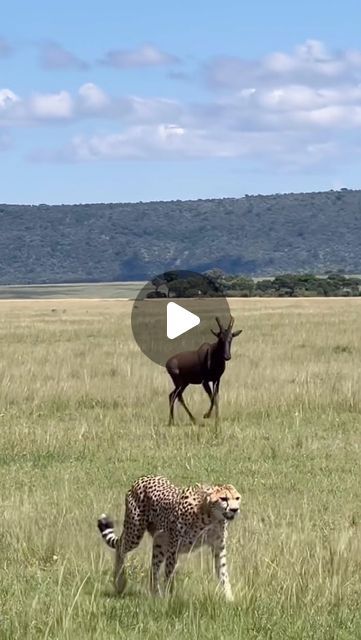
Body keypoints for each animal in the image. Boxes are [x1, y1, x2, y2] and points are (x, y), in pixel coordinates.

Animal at [97, 476, 240, 600]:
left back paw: (155, 594)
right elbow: (169, 574)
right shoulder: (173, 548)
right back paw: (120, 582)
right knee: (120, 547)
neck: (211, 517)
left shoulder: (218, 547)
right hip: (135, 533)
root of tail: (142, 478)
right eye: (223, 498)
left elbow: (223, 573)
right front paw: (170, 598)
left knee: (153, 567)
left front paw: (229, 599)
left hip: (159, 543)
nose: (235, 509)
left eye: (237, 498)